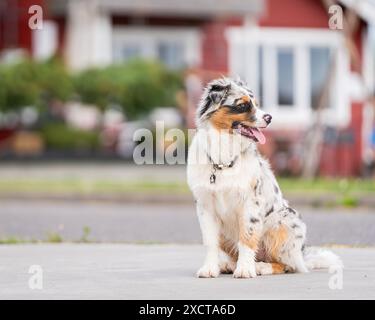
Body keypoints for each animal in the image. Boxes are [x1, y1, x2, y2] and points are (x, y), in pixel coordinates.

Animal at [187, 77, 342, 278]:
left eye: (257, 104)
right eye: (243, 105)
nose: (269, 117)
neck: (223, 159)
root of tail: (302, 255)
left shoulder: (250, 203)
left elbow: (247, 237)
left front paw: (245, 270)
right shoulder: (205, 206)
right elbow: (210, 242)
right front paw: (209, 268)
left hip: (285, 222)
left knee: (287, 265)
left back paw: (261, 266)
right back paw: (228, 265)